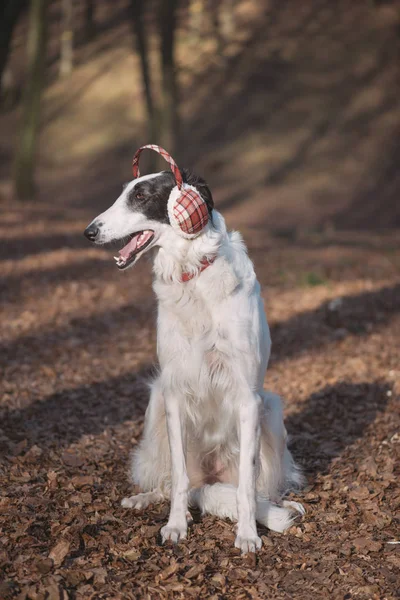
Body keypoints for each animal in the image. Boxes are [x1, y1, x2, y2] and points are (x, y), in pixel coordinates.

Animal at [84, 145, 304, 552]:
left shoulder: (248, 397)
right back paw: (150, 499)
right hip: (155, 402)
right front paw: (175, 524)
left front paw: (247, 534)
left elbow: (246, 488)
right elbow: (180, 478)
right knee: (172, 482)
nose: (89, 232)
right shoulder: (173, 392)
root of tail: (212, 476)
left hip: (270, 409)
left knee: (256, 488)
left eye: (141, 196)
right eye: (123, 194)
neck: (193, 276)